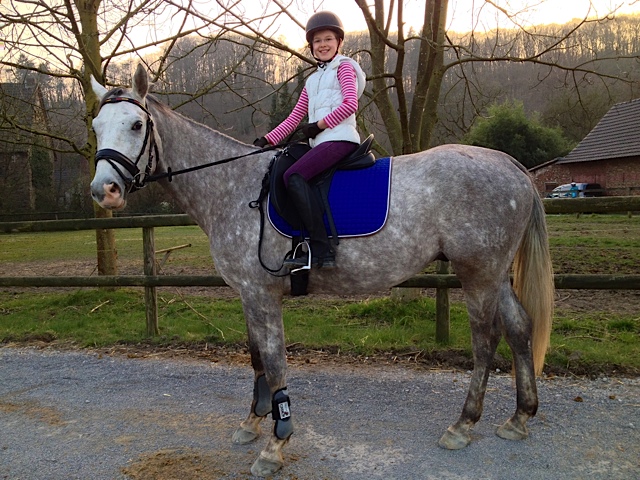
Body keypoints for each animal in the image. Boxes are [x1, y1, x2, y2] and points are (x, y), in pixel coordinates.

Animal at [90, 66, 556, 476]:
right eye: (96, 125)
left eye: (136, 124)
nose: (103, 191)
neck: (235, 188)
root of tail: (509, 163)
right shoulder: (247, 293)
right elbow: (256, 357)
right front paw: (252, 422)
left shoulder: (261, 294)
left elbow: (275, 362)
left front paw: (275, 444)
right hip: (495, 275)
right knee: (519, 328)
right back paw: (519, 417)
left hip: (477, 273)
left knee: (485, 340)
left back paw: (463, 424)